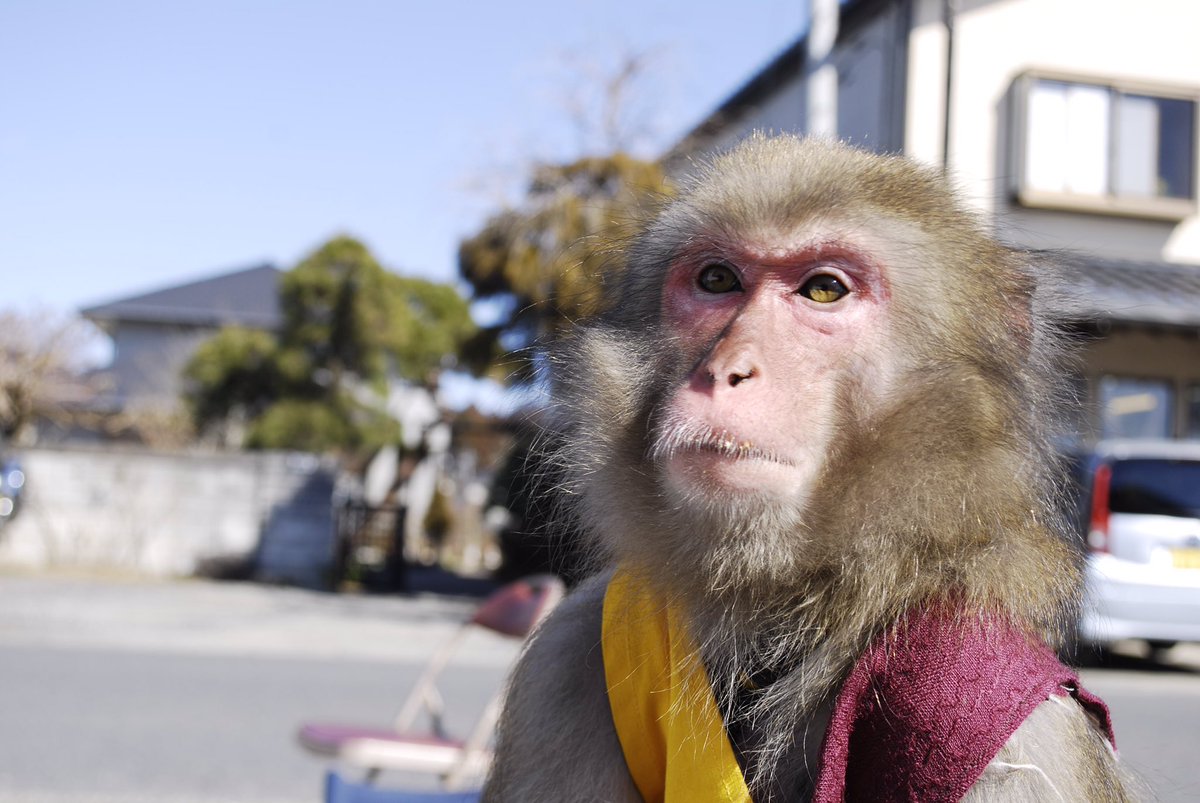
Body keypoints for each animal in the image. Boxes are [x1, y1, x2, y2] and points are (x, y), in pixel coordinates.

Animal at [480, 134, 1132, 796]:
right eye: (717, 279)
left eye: (823, 289)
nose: (726, 370)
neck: (778, 611)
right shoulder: (565, 652)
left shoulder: (1002, 722)